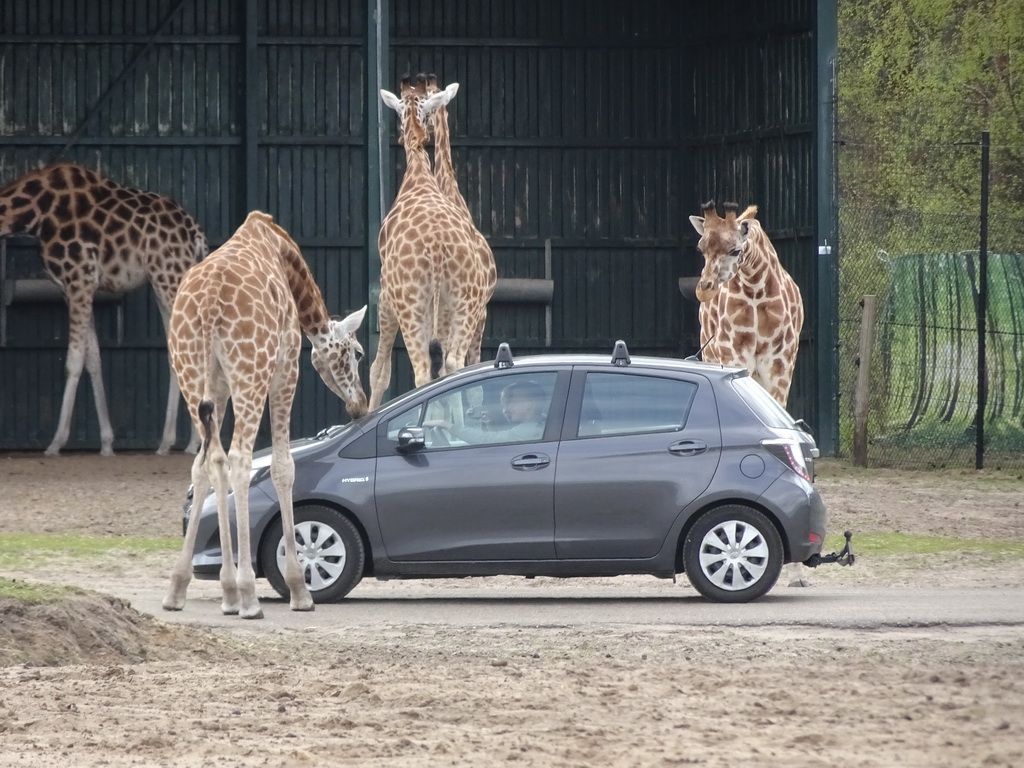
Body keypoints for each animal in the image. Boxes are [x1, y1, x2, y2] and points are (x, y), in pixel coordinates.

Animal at [0, 162, 205, 456]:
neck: (35, 214)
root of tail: (196, 233)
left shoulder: (79, 279)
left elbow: (73, 361)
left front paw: (56, 443)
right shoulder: (71, 288)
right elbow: (93, 359)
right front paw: (107, 443)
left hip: (169, 275)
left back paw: (197, 443)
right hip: (164, 279)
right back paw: (174, 443)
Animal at [161, 210, 366, 618]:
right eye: (357, 353)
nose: (361, 404)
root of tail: (208, 304)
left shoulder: (219, 385)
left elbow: (206, 468)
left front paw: (212, 589)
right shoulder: (287, 367)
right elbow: (283, 466)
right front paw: (298, 590)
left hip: (190, 372)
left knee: (211, 460)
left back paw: (193, 591)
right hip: (251, 373)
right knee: (240, 458)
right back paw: (249, 597)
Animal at [368, 72, 495, 411]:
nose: (402, 138)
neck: (421, 175)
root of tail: (438, 249)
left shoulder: (386, 296)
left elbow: (379, 371)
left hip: (413, 305)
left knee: (424, 372)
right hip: (464, 303)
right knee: (454, 366)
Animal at [692, 199, 811, 589]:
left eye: (735, 250)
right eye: (701, 247)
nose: (704, 289)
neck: (757, 290)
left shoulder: (780, 365)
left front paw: (797, 573)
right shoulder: (733, 356)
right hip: (711, 353)